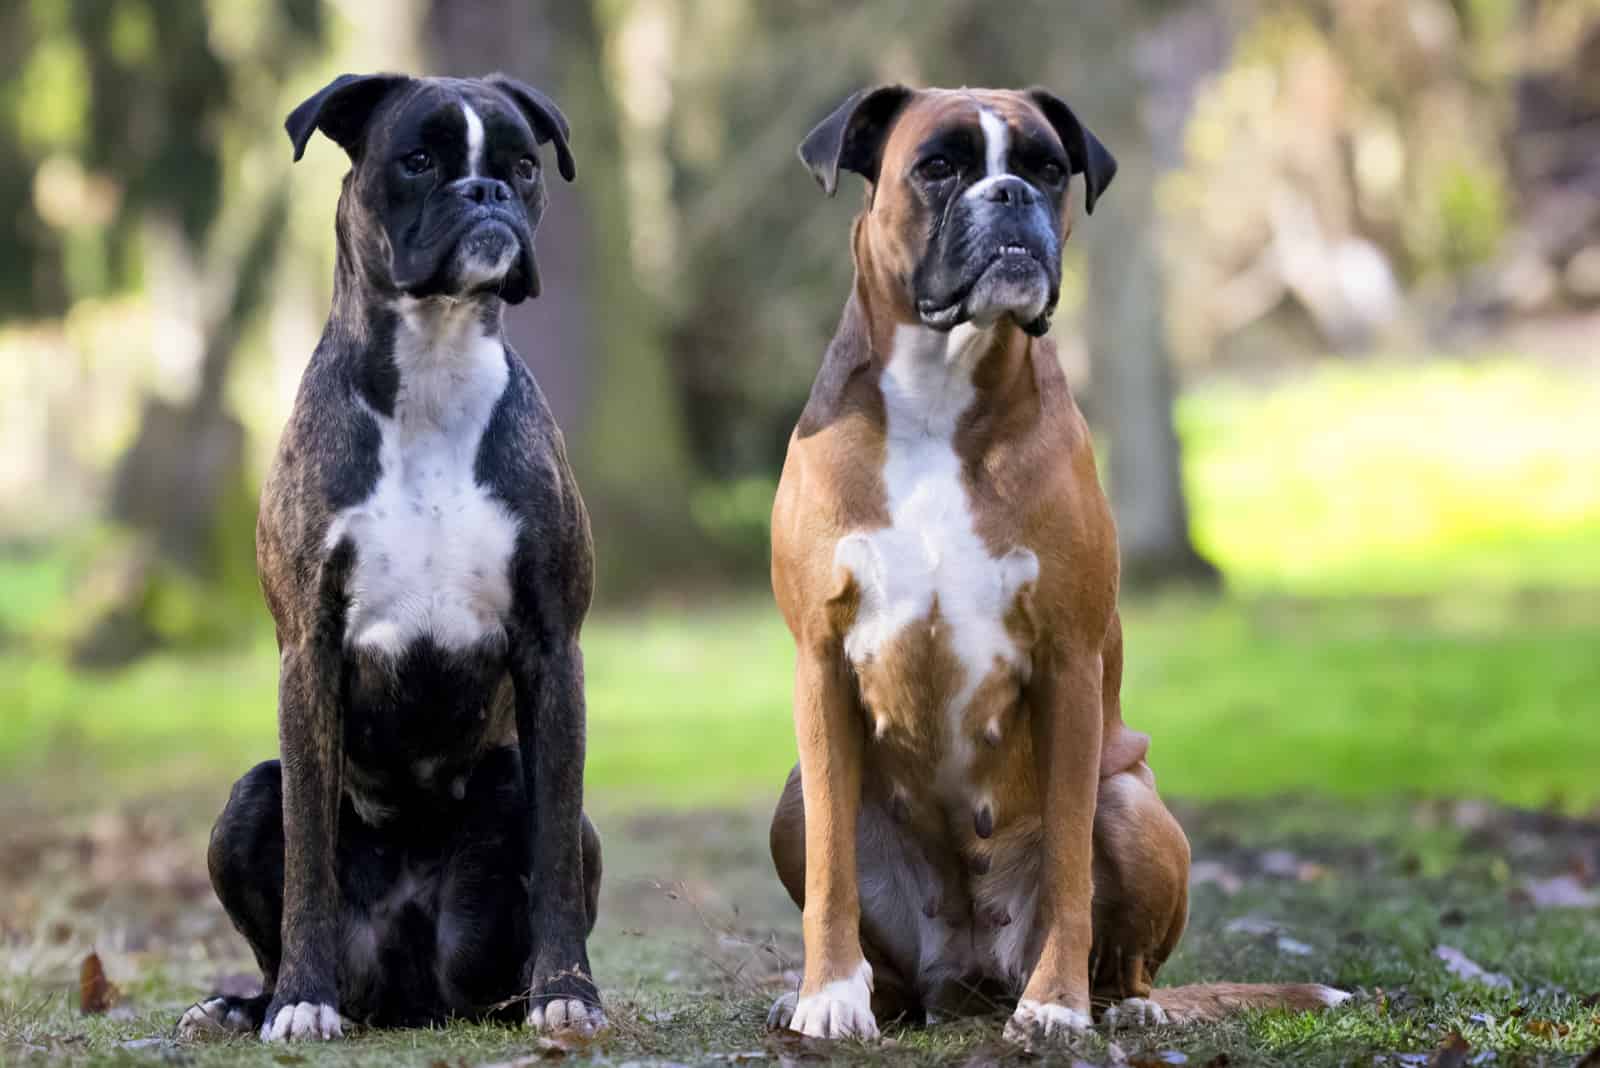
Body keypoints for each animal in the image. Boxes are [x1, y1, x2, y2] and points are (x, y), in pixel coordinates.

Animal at [176, 70, 601, 1036]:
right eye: (417, 161)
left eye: (525, 165)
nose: (486, 193)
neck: (434, 376)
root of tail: (410, 1001)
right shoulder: (309, 652)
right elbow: (308, 858)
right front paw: (302, 1002)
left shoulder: (553, 650)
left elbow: (555, 850)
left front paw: (569, 994)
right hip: (243, 801)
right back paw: (249, 1005)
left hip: (513, 810)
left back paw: (525, 995)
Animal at [761, 89, 1350, 1042]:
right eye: (938, 166)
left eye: (1046, 168)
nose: (1009, 196)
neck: (939, 393)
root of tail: (966, 981)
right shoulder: (820, 662)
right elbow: (829, 874)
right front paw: (828, 995)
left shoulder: (1068, 664)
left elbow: (1072, 858)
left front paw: (1057, 1006)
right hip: (791, 798)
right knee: (871, 926)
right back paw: (864, 996)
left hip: (1134, 801)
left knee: (1128, 959)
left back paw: (1117, 1007)